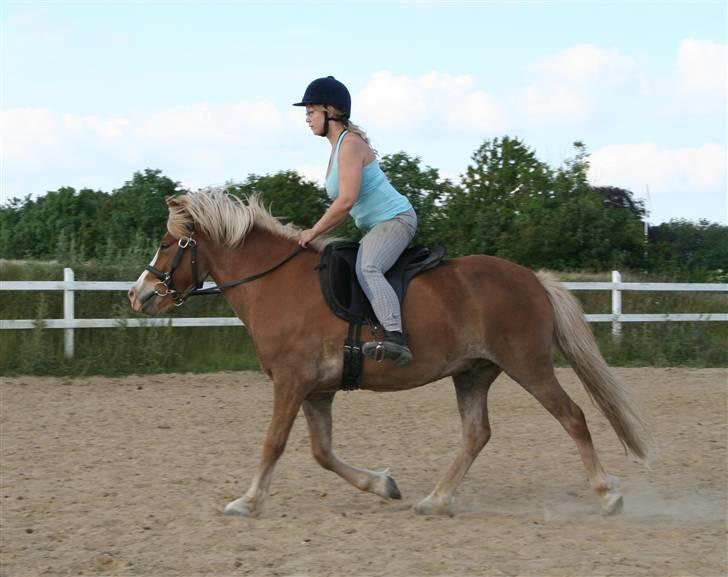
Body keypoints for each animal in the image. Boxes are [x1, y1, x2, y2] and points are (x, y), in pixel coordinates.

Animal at [126, 189, 656, 516]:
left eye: (169, 243)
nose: (138, 295)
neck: (274, 283)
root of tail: (533, 279)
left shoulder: (292, 382)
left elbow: (273, 444)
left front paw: (248, 503)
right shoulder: (316, 390)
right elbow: (322, 452)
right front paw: (382, 484)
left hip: (529, 365)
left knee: (572, 418)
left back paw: (607, 495)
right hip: (473, 372)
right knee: (476, 434)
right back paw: (436, 500)